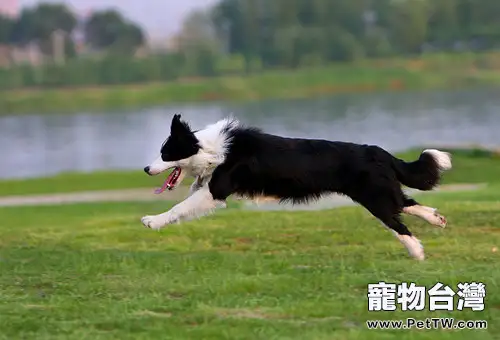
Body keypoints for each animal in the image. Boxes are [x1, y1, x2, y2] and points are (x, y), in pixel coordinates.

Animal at [143, 114, 452, 260]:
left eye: (165, 153)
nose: (146, 169)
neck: (209, 149)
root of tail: (379, 151)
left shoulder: (216, 190)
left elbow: (179, 207)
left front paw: (152, 221)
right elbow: (185, 203)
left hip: (374, 197)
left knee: (398, 221)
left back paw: (417, 252)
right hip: (380, 192)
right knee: (407, 203)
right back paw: (436, 219)